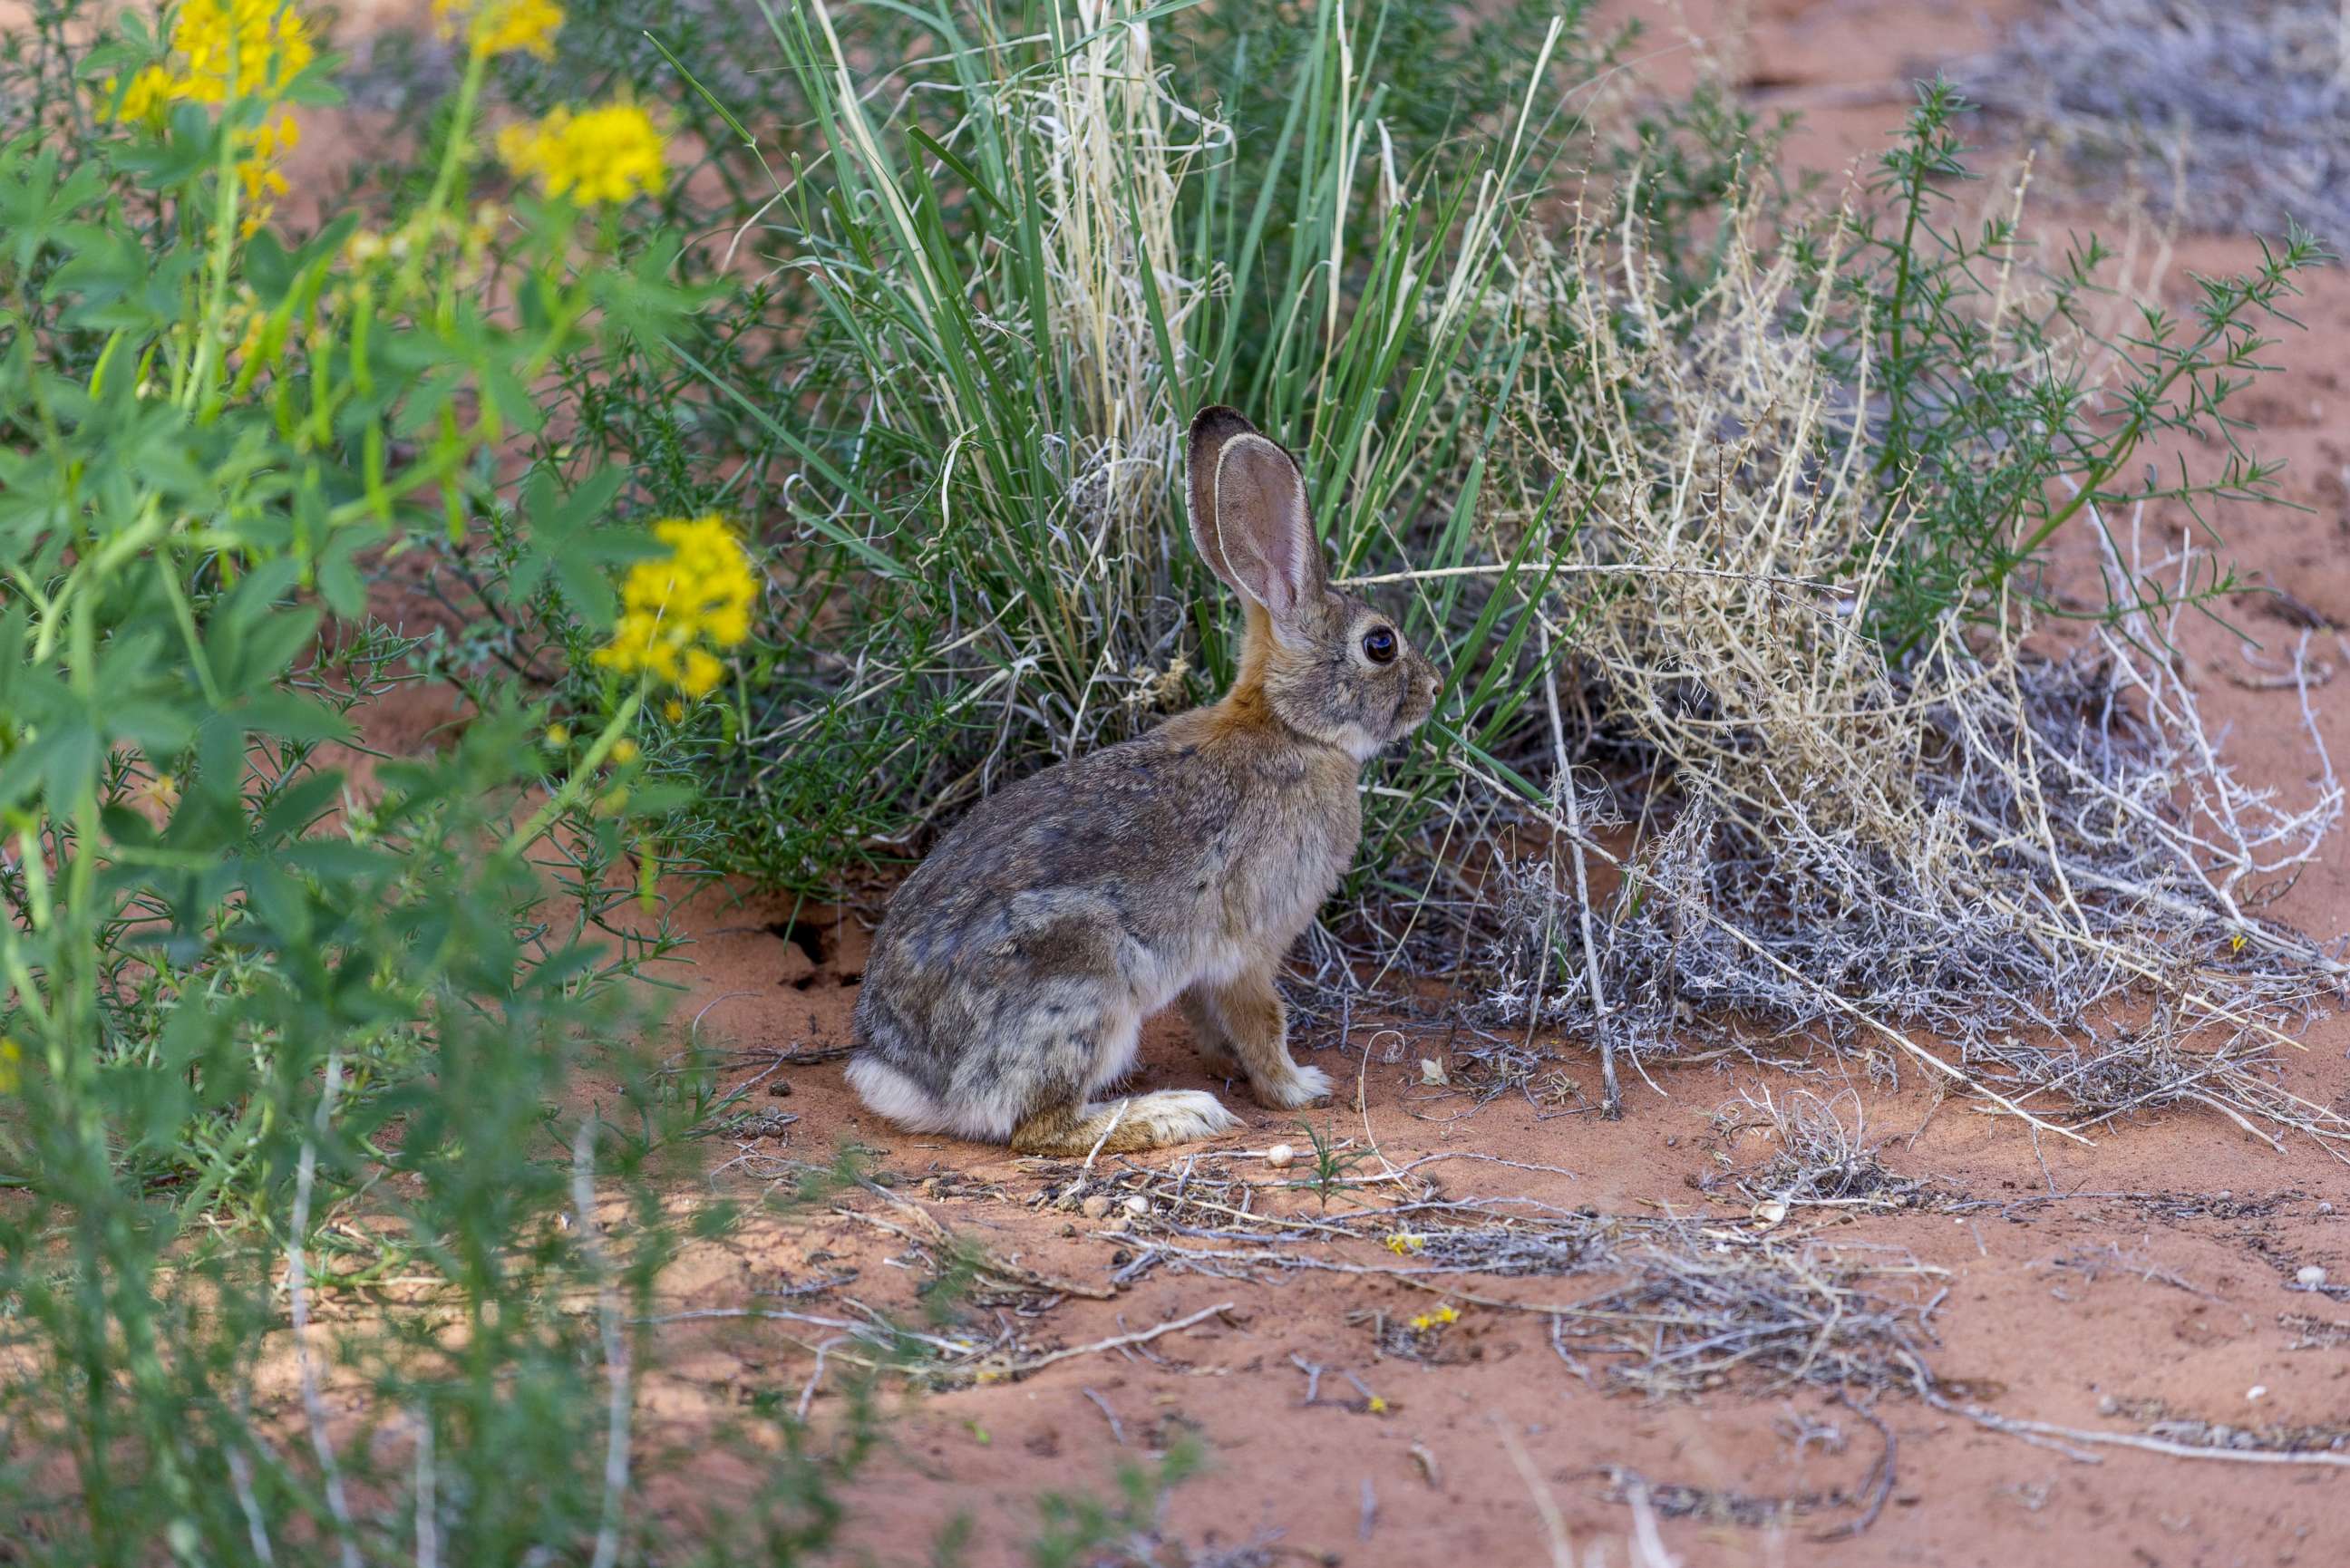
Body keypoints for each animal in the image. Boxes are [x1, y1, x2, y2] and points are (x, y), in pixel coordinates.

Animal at [836, 411, 1438, 1161]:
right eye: (1380, 645)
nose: (1435, 689)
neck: (1292, 727)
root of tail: (906, 1077)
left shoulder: (1207, 969)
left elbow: (1213, 1018)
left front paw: (1228, 1062)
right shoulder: (1249, 948)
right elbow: (1263, 1018)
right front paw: (1297, 1087)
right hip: (1087, 982)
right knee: (1039, 1126)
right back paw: (1172, 1114)